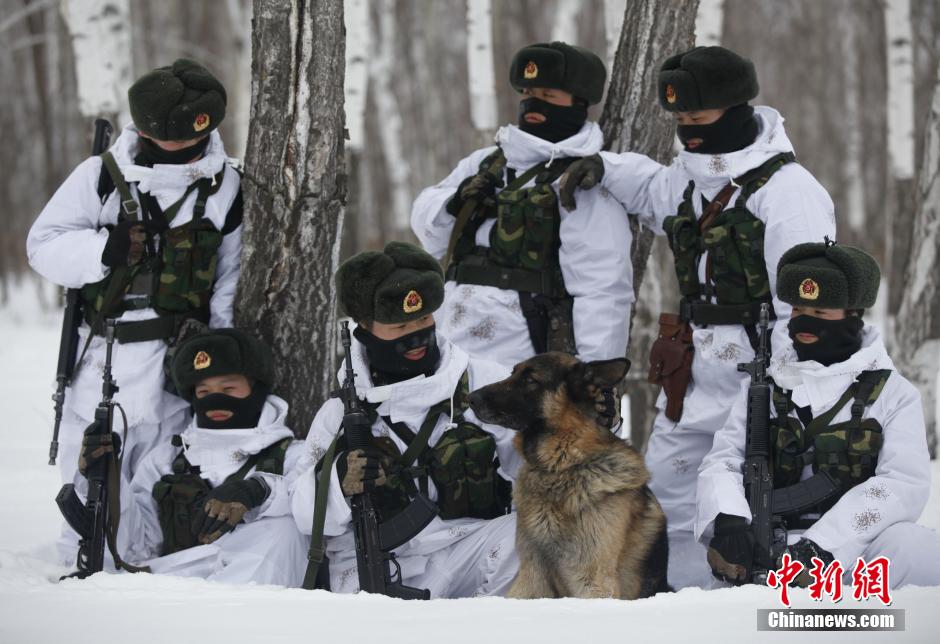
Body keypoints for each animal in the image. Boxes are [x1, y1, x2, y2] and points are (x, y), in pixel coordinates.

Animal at [469, 352, 669, 599]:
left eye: (530, 380)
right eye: (512, 373)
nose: (471, 397)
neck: (561, 467)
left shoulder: (595, 580)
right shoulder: (532, 572)